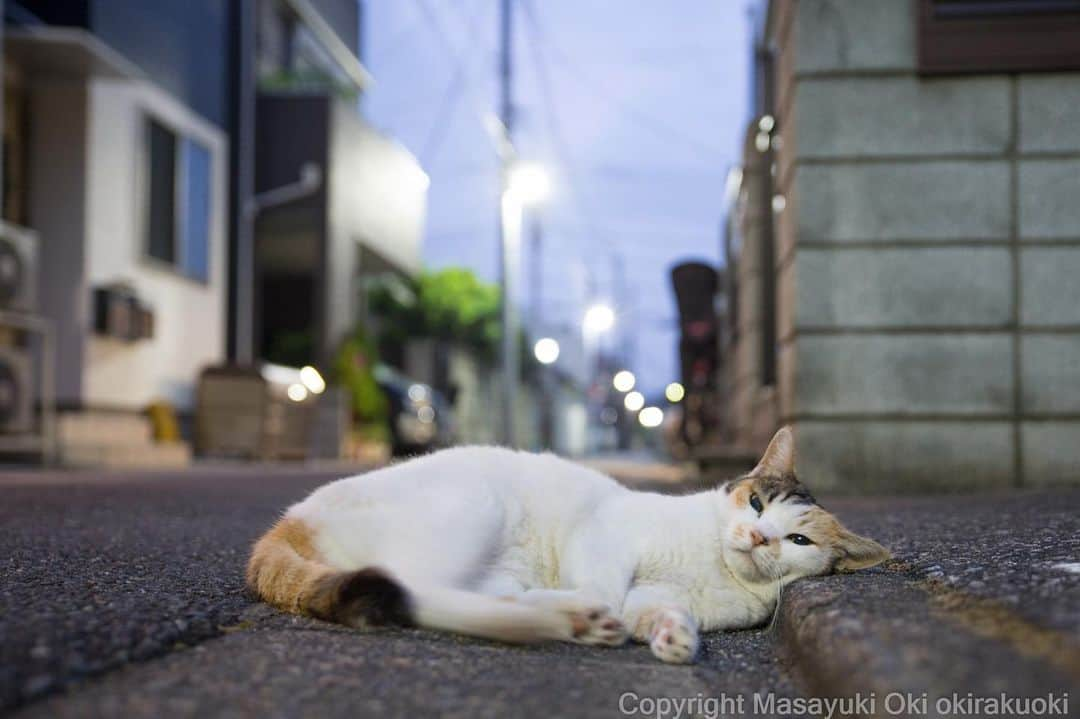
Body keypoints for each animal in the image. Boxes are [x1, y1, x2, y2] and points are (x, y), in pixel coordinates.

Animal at [248, 423, 889, 665]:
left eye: (797, 538)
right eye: (756, 504)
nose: (757, 535)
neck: (715, 567)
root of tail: (290, 519)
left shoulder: (655, 596)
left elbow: (660, 610)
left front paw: (674, 637)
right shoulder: (603, 531)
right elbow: (606, 583)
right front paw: (610, 615)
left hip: (497, 564)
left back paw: (569, 618)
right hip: (475, 506)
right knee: (419, 591)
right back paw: (574, 616)